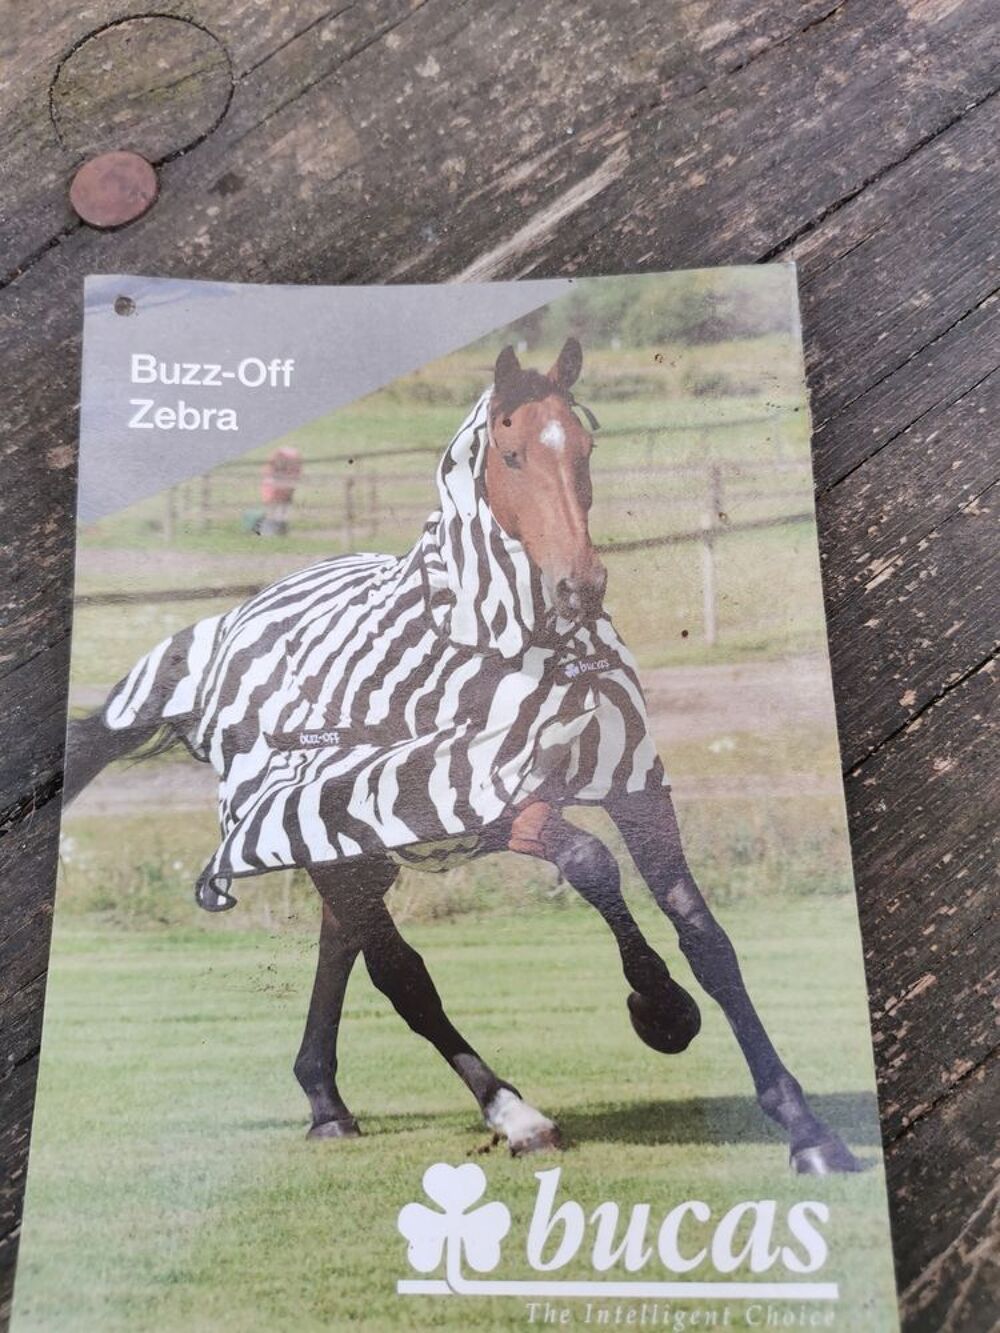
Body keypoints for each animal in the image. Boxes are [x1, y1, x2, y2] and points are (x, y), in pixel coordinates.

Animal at [65, 338, 863, 1174]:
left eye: (585, 449)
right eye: (511, 455)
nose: (581, 586)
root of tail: (227, 631)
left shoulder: (634, 785)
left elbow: (706, 936)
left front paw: (805, 1127)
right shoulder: (482, 795)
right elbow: (590, 862)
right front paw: (660, 1006)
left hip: (353, 845)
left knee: (344, 944)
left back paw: (326, 1102)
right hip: (334, 830)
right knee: (399, 971)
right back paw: (513, 1111)